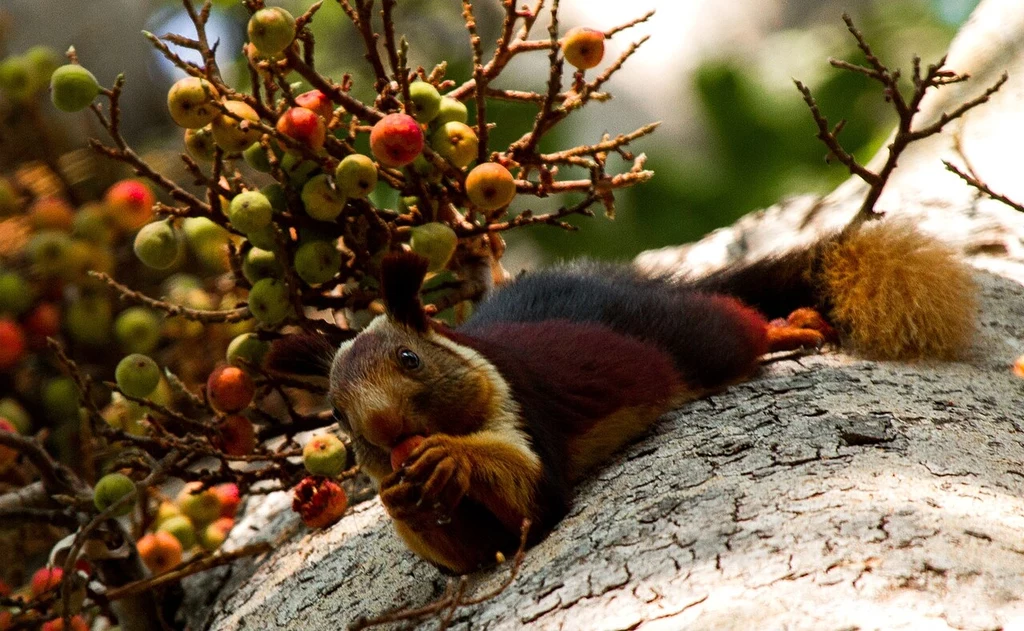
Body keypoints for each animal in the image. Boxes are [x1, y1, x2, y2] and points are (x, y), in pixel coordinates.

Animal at [270, 220, 974, 573]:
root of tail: (638, 289)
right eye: (337, 416)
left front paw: (454, 457)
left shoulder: (522, 406)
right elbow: (468, 559)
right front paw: (398, 499)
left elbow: (536, 500)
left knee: (728, 326)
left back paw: (783, 326)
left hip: (693, 338)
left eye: (410, 360)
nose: (387, 431)